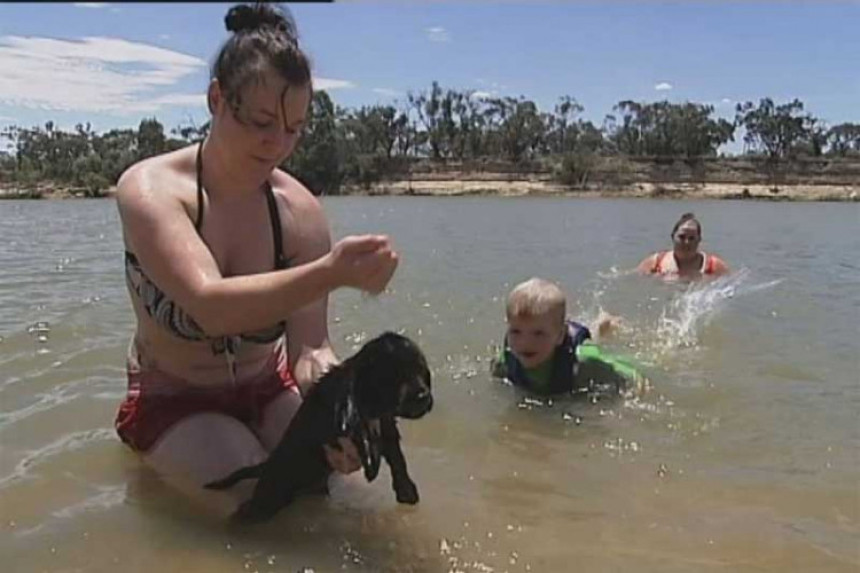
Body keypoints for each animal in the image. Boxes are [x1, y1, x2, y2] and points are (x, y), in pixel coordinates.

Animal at [203, 328, 430, 520]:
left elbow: (396, 456)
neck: (372, 401)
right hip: (273, 490)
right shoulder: (344, 414)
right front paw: (372, 466)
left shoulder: (386, 424)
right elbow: (362, 433)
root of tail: (266, 464)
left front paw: (406, 490)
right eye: (397, 375)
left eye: (422, 371)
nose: (424, 397)